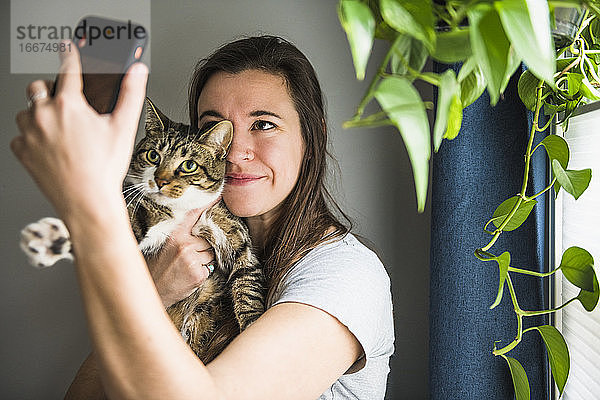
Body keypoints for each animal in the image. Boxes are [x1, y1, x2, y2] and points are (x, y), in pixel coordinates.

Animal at [21, 97, 264, 362]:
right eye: (153, 155)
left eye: (189, 165)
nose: (161, 180)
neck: (182, 209)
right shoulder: (143, 212)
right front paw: (50, 238)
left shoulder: (233, 232)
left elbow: (249, 286)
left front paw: (253, 328)